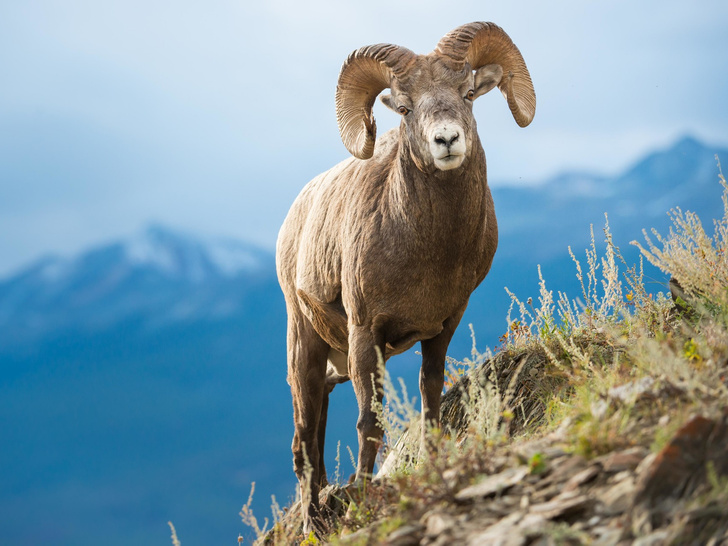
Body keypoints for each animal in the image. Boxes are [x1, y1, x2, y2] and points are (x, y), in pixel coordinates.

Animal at [274, 22, 536, 532]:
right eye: (406, 106)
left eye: (468, 93)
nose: (447, 140)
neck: (429, 252)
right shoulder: (365, 335)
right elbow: (370, 422)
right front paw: (361, 497)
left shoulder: (443, 326)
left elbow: (429, 397)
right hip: (305, 349)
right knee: (303, 443)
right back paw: (313, 524)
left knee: (315, 436)